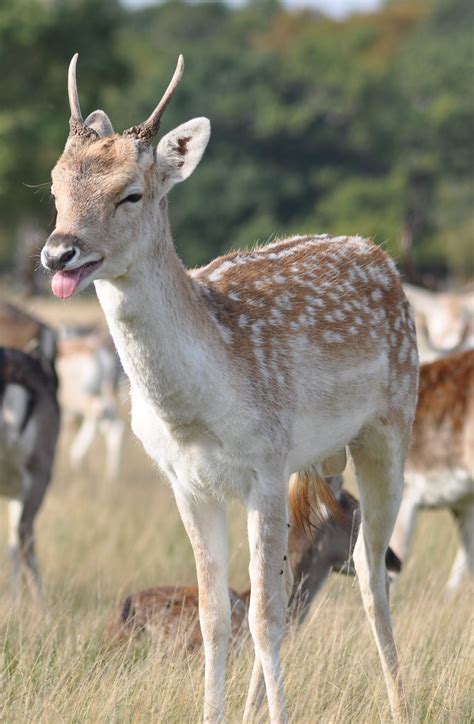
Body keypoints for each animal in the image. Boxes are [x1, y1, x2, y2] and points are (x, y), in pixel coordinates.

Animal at [40, 53, 418, 720]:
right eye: (56, 187)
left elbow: (265, 619)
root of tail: (381, 255)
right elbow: (218, 616)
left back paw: (401, 704)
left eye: (131, 193)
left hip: (392, 425)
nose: (60, 252)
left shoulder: (264, 464)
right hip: (319, 458)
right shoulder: (186, 481)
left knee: (372, 574)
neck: (195, 410)